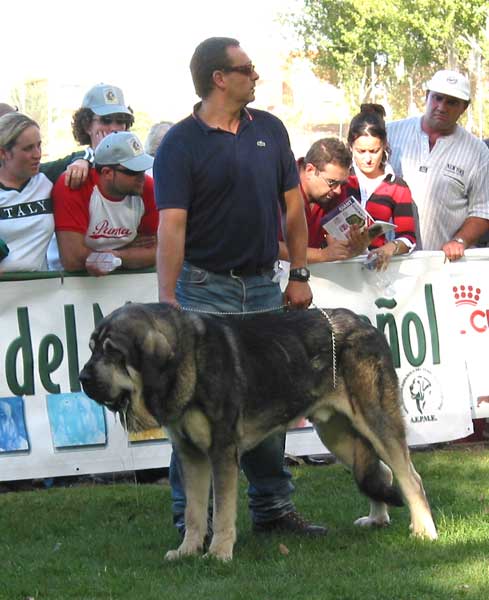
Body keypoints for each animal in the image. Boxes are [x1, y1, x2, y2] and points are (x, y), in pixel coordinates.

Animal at [78, 304, 436, 564]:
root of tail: (365, 323)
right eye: (92, 349)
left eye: (112, 352)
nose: (82, 378)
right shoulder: (190, 455)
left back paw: (424, 530)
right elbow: (194, 512)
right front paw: (187, 551)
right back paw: (377, 519)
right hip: (337, 435)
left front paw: (219, 553)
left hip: (376, 421)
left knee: (411, 477)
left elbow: (222, 511)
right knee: (381, 471)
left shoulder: (222, 452)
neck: (187, 358)